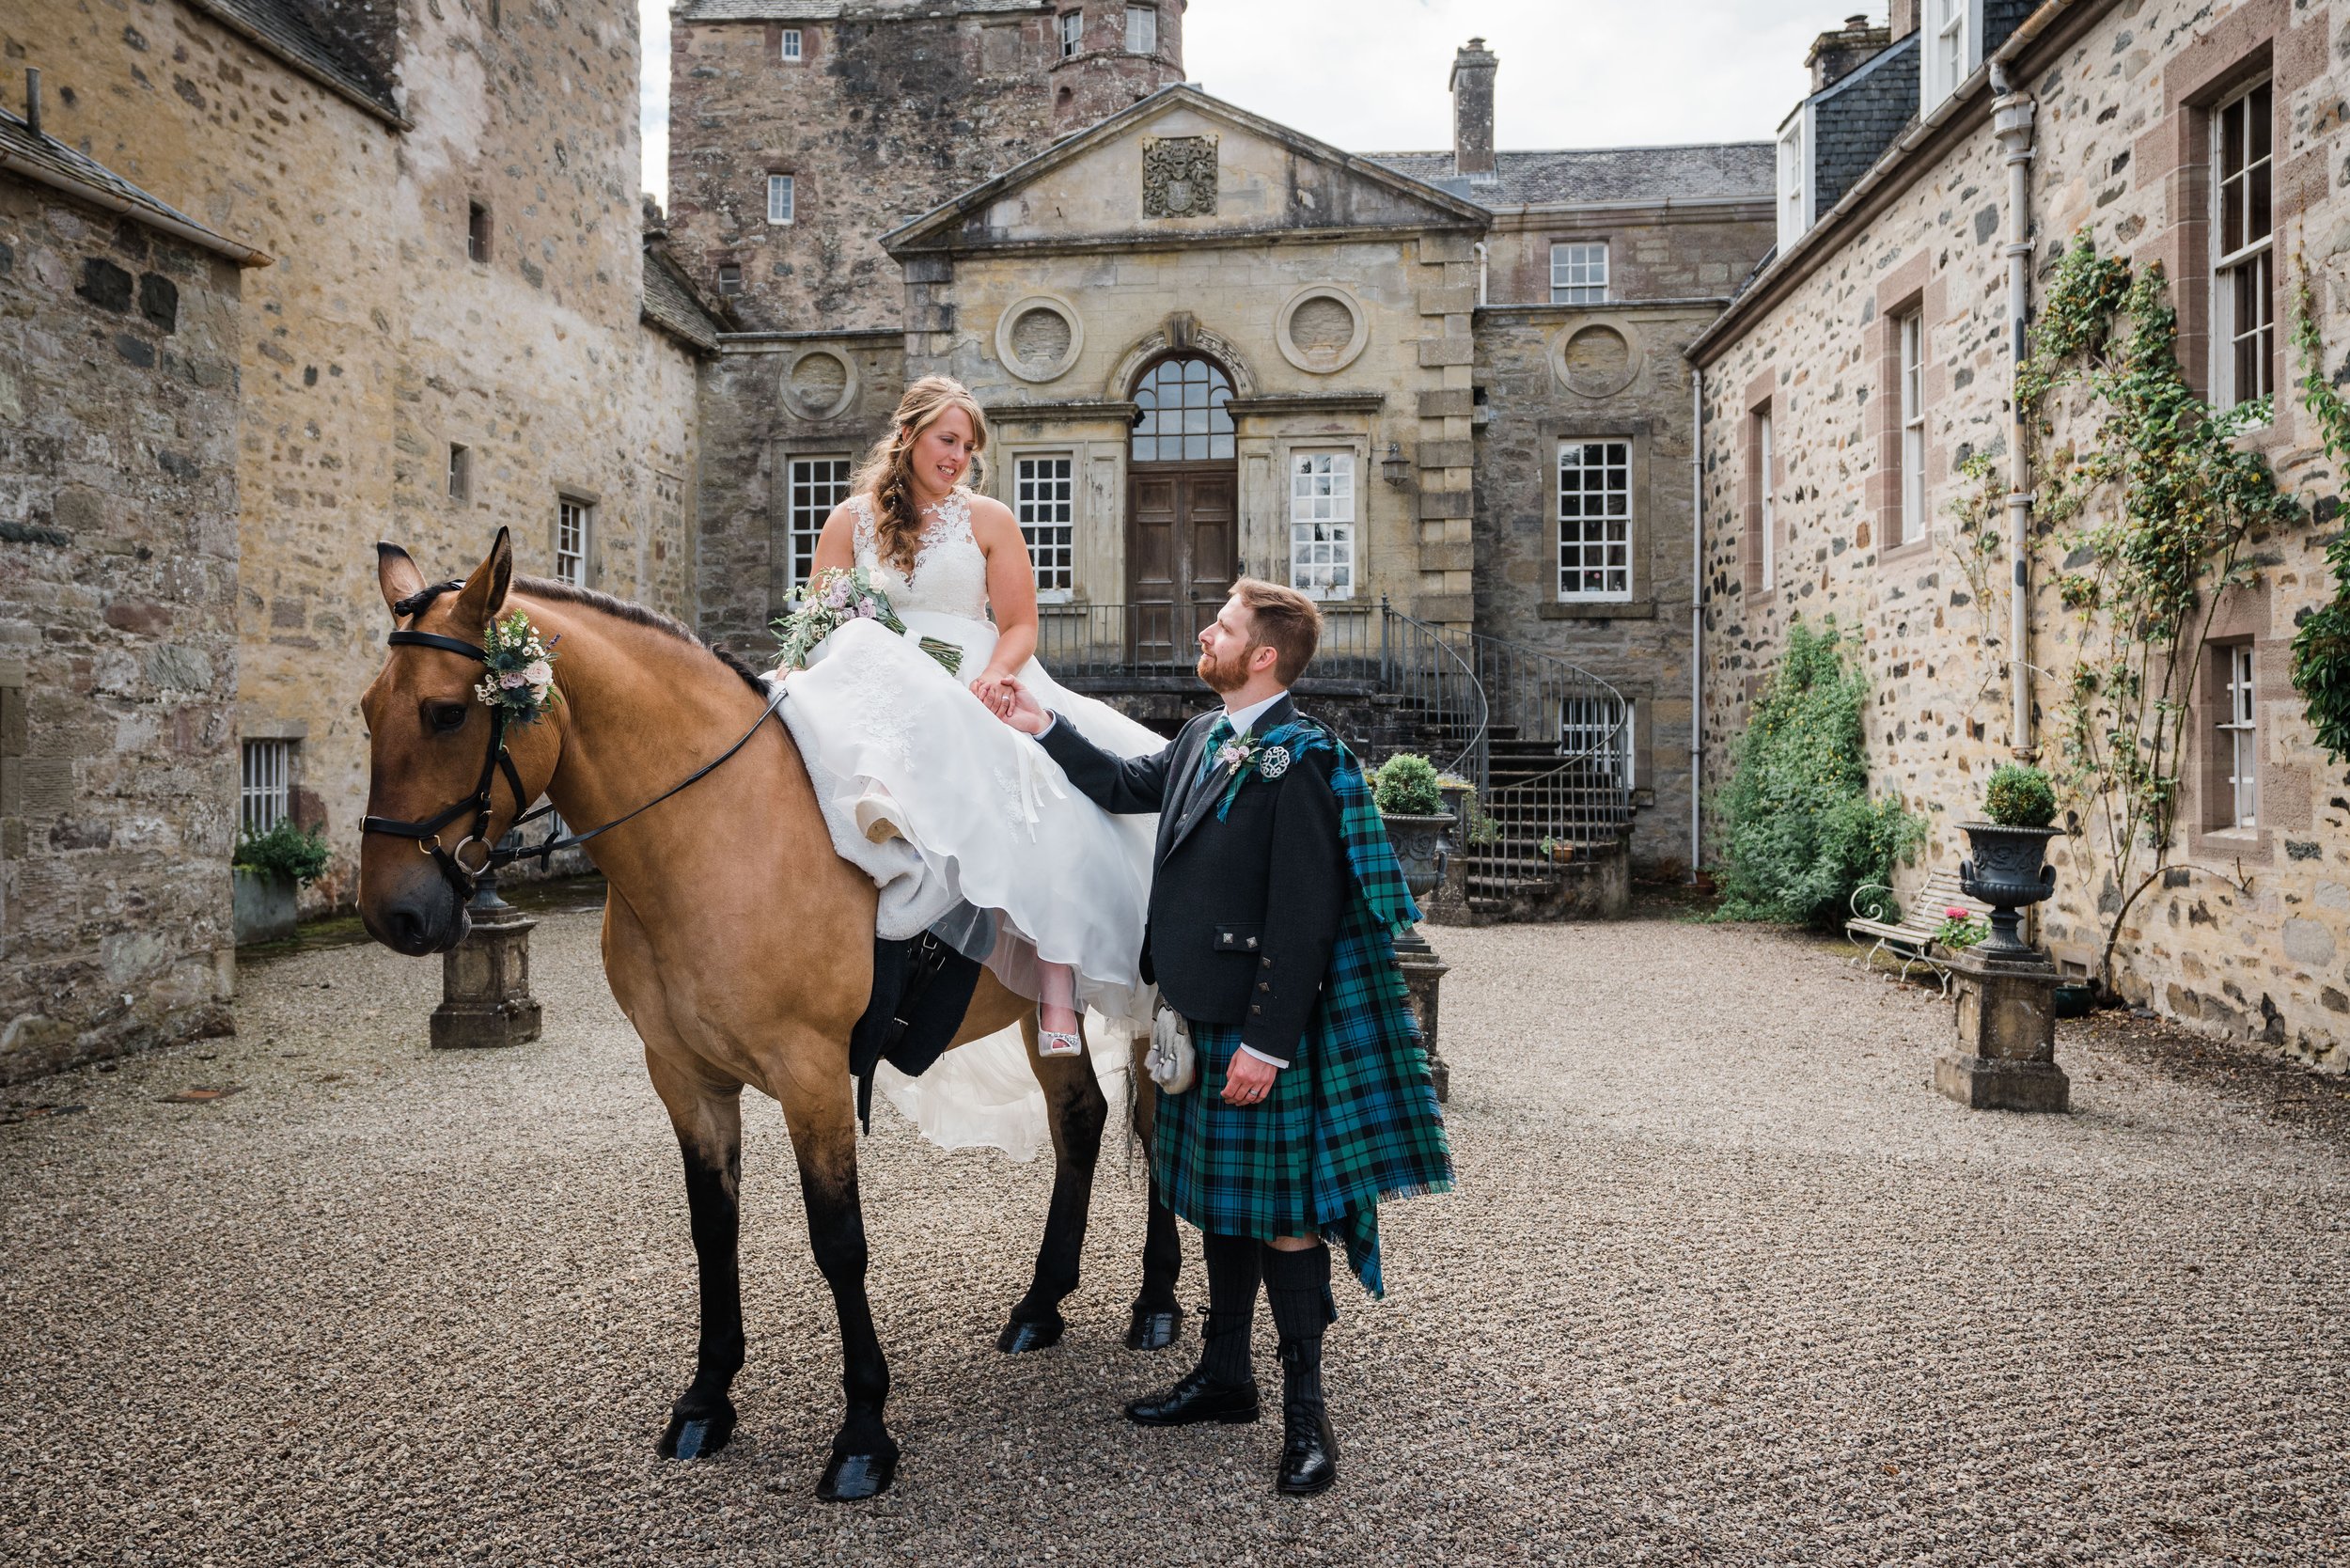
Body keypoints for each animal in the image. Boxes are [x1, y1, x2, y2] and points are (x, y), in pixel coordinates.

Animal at [354, 533, 1184, 1504]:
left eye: (447, 714)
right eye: (367, 712)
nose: (393, 914)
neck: (718, 828)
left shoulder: (811, 1073)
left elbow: (839, 1243)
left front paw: (862, 1433)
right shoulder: (682, 1076)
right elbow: (713, 1231)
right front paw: (707, 1399)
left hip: (1149, 1002)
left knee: (1157, 1129)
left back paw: (1157, 1305)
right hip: (1040, 997)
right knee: (1080, 1119)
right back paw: (1041, 1304)